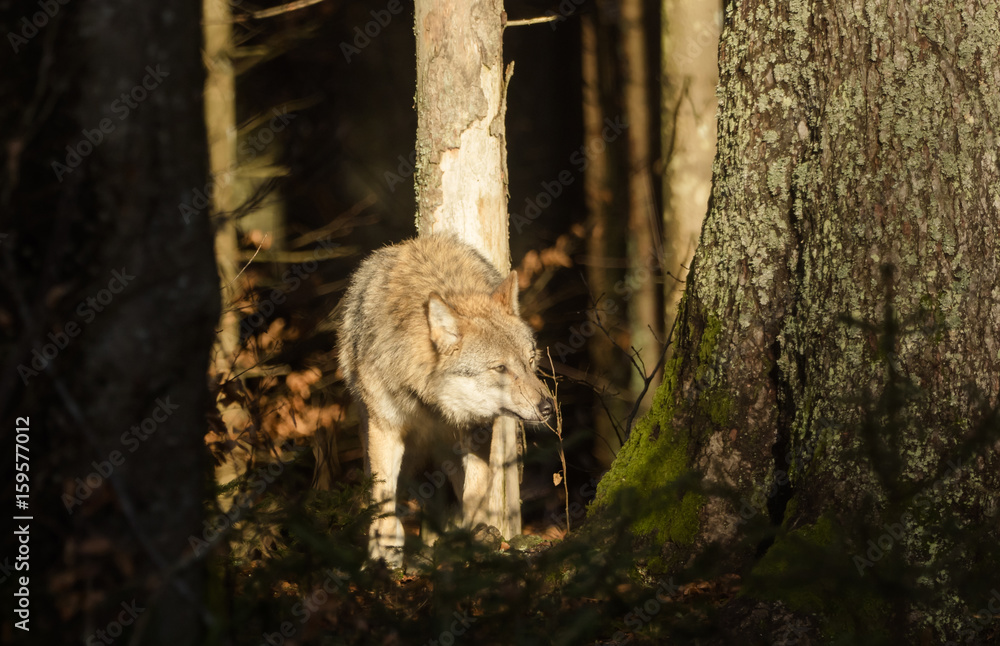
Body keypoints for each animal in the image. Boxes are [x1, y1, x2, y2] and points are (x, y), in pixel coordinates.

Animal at [338, 235, 554, 565]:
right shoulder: (386, 429)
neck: (431, 406)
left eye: (530, 362)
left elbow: (476, 491)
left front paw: (473, 538)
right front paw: (385, 555)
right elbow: (385, 501)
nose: (548, 407)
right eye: (500, 368)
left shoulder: (476, 429)